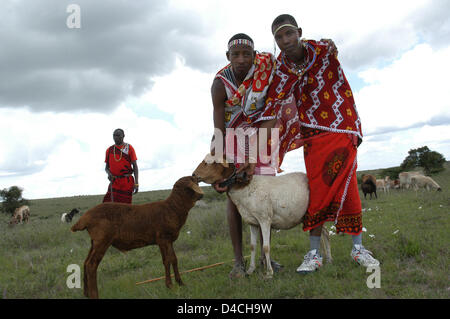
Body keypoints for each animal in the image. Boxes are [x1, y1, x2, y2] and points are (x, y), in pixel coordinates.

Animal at [71, 176, 204, 298]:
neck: (172, 208)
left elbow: (174, 259)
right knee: (91, 265)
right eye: (192, 183)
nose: (201, 195)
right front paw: (170, 286)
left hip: (94, 241)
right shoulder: (162, 239)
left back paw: (86, 294)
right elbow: (166, 261)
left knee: (85, 262)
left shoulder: (169, 240)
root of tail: (84, 218)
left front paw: (181, 283)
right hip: (102, 240)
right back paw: (94, 295)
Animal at [192, 154, 332, 278]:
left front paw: (269, 273)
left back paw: (325, 259)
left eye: (210, 162)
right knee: (324, 232)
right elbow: (252, 246)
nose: (193, 175)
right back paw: (327, 259)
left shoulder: (264, 219)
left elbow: (265, 247)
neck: (245, 188)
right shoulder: (252, 222)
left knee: (323, 232)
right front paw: (250, 270)